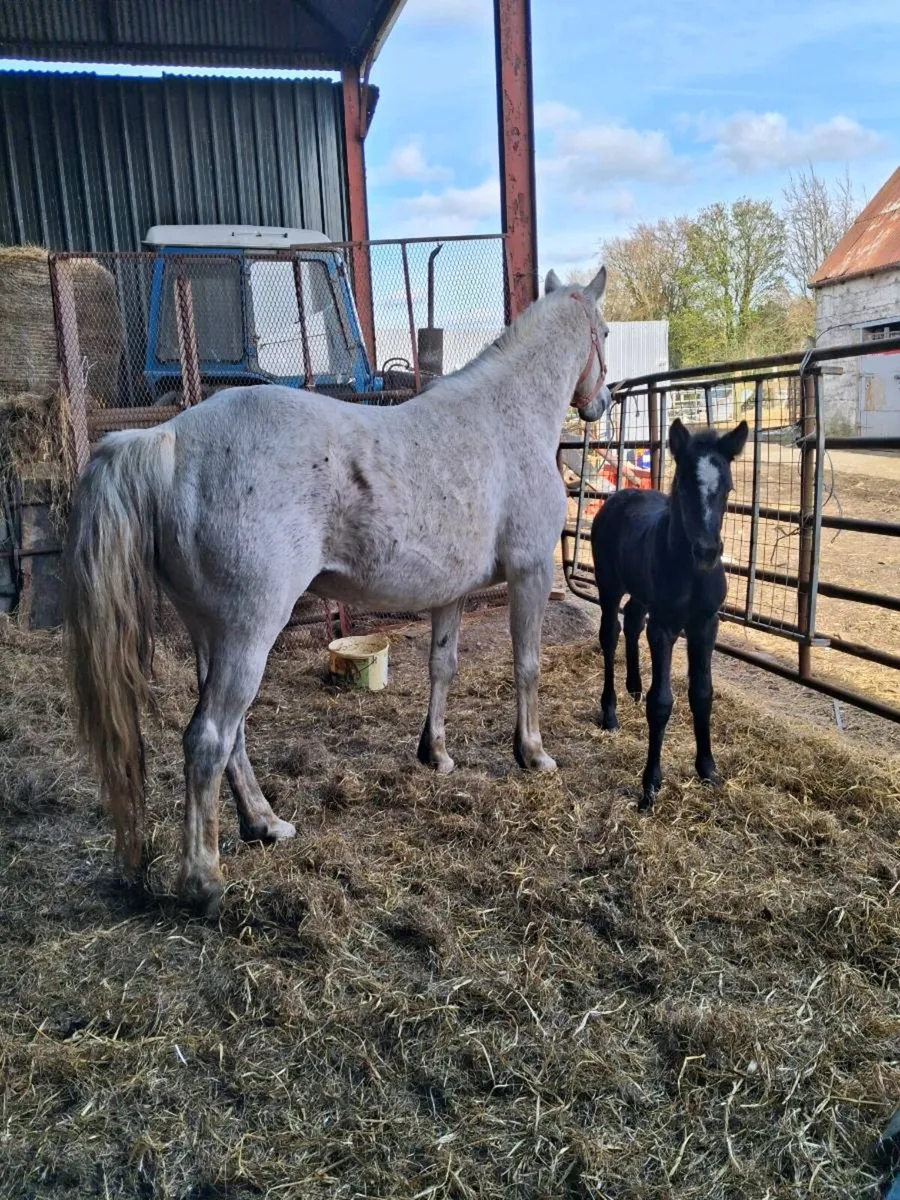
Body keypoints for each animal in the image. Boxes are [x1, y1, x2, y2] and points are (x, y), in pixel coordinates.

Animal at [64, 265, 612, 913]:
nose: (601, 402)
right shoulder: (530, 574)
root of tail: (169, 440)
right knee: (209, 738)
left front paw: (436, 754)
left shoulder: (451, 593)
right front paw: (532, 753)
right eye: (605, 332)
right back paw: (204, 880)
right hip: (249, 633)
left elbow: (442, 667)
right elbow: (527, 665)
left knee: (230, 736)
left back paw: (264, 824)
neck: (507, 418)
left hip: (212, 634)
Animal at [589, 417, 748, 810]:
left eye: (728, 488)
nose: (707, 552)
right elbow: (661, 702)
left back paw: (633, 687)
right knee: (610, 635)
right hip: (609, 585)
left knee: (632, 620)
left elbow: (702, 693)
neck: (690, 572)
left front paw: (707, 769)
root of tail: (620, 495)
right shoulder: (663, 627)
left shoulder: (705, 624)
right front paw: (650, 786)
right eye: (684, 486)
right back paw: (610, 712)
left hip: (641, 594)